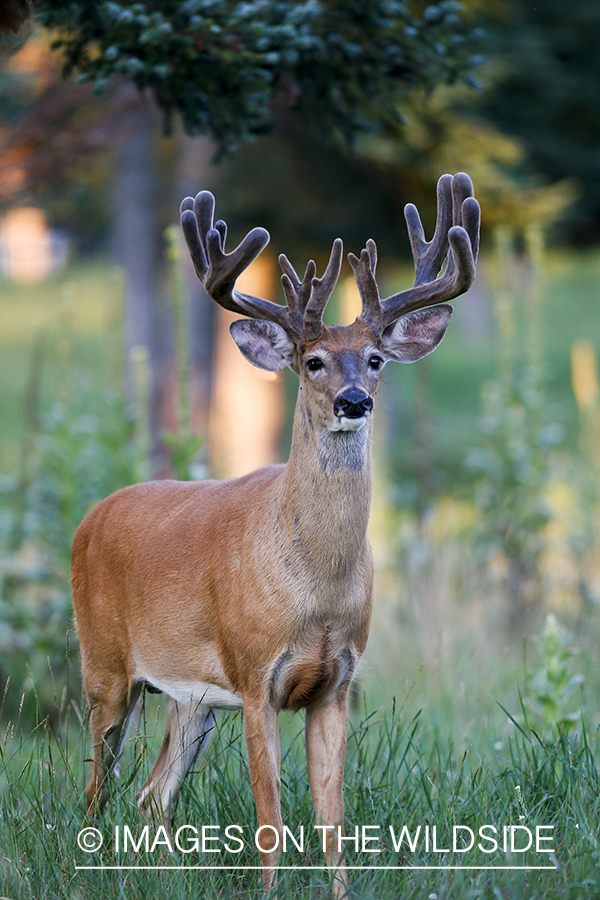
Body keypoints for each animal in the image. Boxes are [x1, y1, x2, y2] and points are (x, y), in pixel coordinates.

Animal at [71, 172, 478, 896]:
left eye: (375, 358)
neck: (314, 589)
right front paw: (269, 890)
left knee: (151, 794)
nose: (354, 400)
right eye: (313, 361)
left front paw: (340, 891)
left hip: (192, 695)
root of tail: (92, 517)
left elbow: (332, 820)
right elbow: (270, 818)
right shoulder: (256, 673)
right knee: (96, 791)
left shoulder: (337, 684)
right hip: (107, 668)